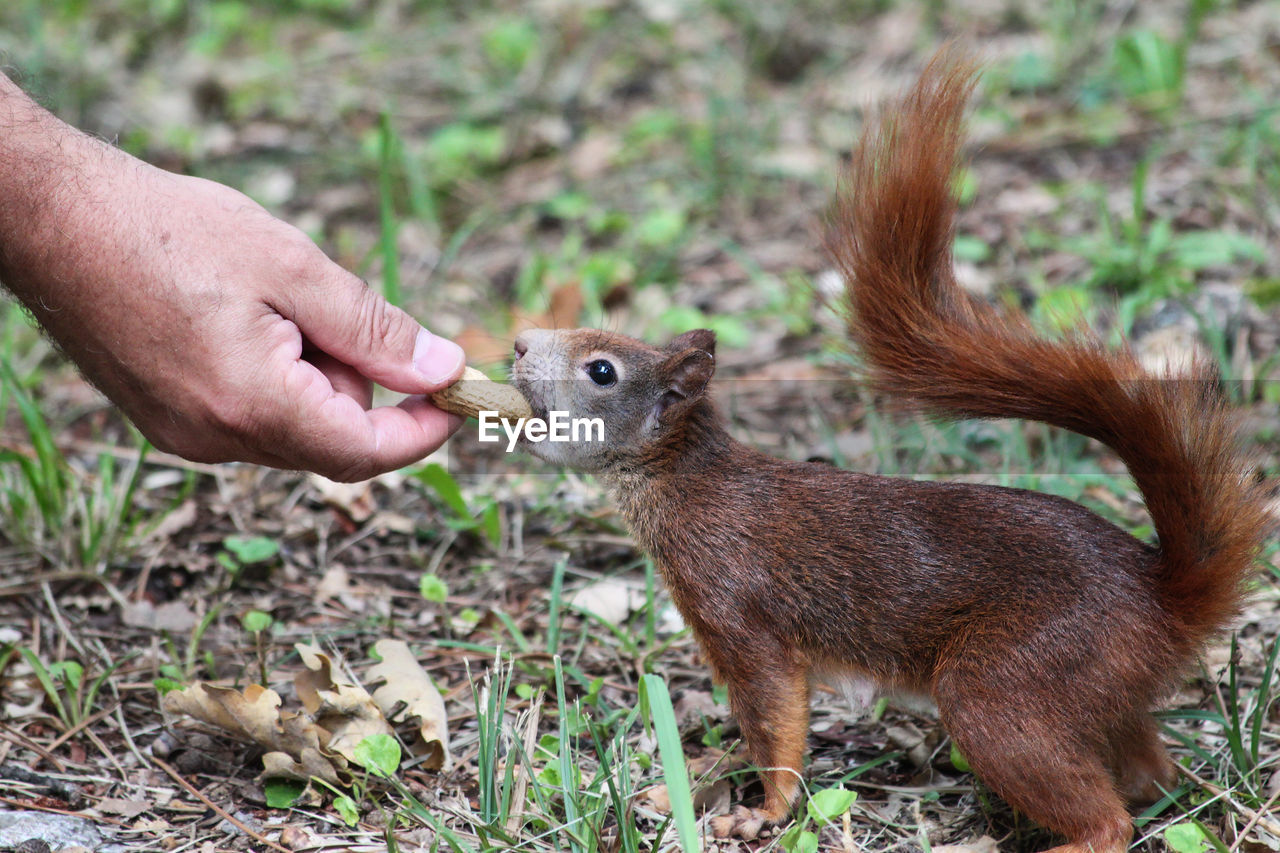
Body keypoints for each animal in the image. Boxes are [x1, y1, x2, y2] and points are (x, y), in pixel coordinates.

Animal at [506, 54, 1269, 850]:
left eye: (601, 371)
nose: (520, 344)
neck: (688, 486)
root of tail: (1163, 601)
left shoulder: (738, 611)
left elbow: (774, 719)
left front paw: (764, 810)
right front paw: (680, 788)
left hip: (1008, 685)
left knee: (1108, 816)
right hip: (1093, 694)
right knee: (1150, 773)